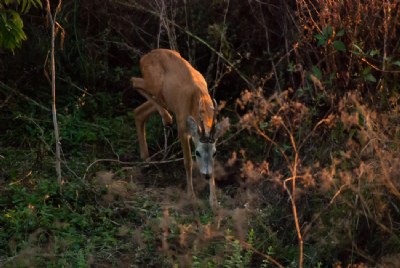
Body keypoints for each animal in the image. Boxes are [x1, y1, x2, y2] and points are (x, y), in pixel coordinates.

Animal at [131, 49, 228, 208]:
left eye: (215, 153)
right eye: (197, 153)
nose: (206, 175)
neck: (199, 101)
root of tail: (145, 57)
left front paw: (214, 202)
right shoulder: (182, 128)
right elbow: (187, 162)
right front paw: (191, 196)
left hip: (163, 96)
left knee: (139, 111)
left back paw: (146, 158)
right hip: (154, 83)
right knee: (134, 81)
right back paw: (166, 118)